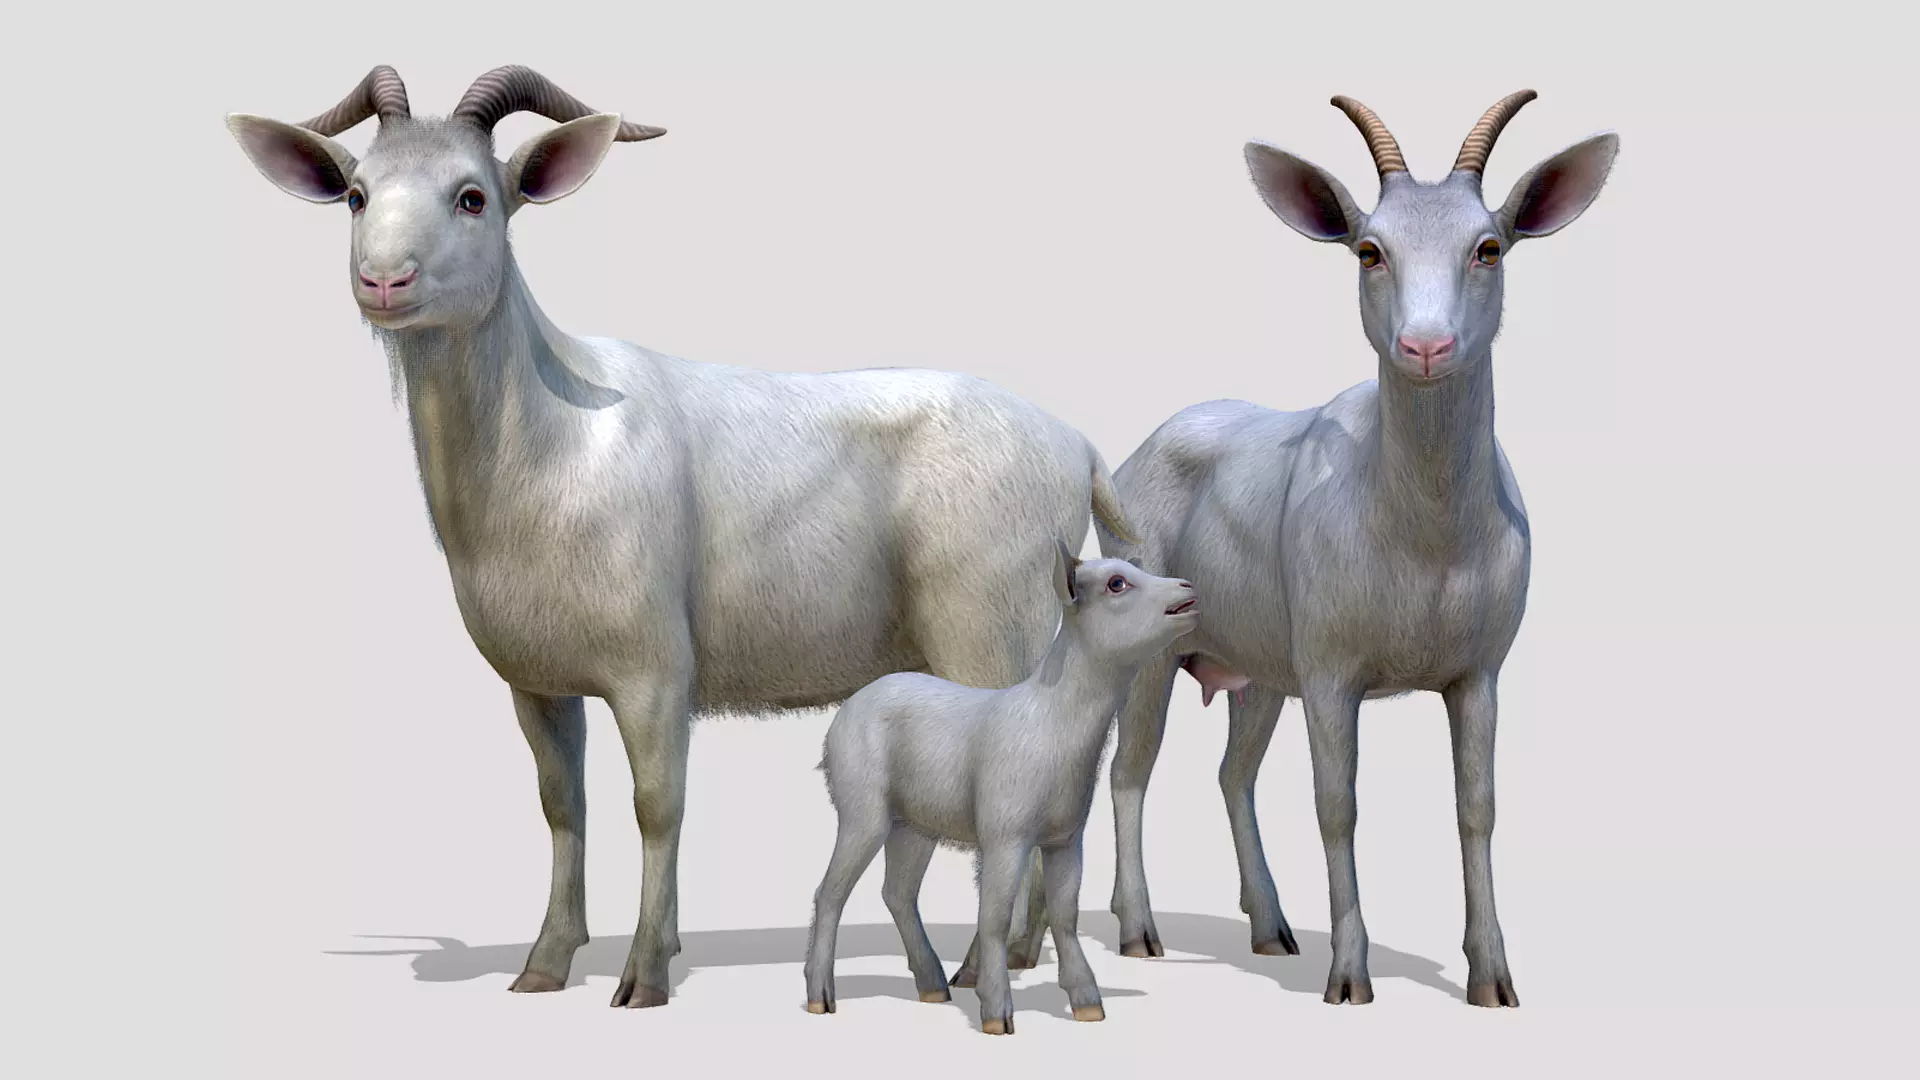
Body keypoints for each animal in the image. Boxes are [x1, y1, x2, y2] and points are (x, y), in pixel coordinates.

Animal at [226, 65, 1136, 1009]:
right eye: (357, 195)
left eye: (473, 196)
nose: (384, 283)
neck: (554, 444)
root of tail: (1076, 444)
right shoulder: (535, 680)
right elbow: (562, 805)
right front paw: (545, 965)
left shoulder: (656, 666)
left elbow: (657, 805)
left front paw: (644, 975)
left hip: (992, 627)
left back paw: (996, 961)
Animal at [805, 540, 1198, 1033]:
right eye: (1116, 583)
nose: (1188, 589)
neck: (1052, 719)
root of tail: (845, 713)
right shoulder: (1004, 833)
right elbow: (994, 916)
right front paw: (997, 1014)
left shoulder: (1065, 836)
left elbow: (1065, 916)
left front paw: (1088, 1004)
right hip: (862, 804)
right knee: (830, 892)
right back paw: (821, 997)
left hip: (915, 823)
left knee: (897, 892)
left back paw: (933, 987)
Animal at [1097, 91, 1617, 1008]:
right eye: (1369, 249)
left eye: (1488, 246)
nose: (1426, 347)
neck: (1425, 539)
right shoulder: (1334, 670)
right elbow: (1336, 803)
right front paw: (1349, 976)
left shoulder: (1477, 671)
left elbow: (1476, 807)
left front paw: (1493, 978)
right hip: (1157, 648)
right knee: (1132, 769)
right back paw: (1140, 930)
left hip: (1260, 663)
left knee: (1233, 773)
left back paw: (1271, 928)